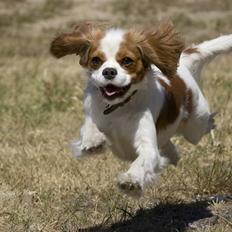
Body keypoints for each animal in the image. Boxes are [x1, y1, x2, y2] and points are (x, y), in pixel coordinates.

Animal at [50, 21, 232, 196]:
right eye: (96, 60)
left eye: (127, 61)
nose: (108, 71)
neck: (119, 106)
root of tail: (184, 64)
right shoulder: (92, 113)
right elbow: (89, 128)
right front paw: (94, 140)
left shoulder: (147, 144)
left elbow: (143, 160)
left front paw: (131, 181)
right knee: (169, 148)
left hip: (195, 125)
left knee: (205, 123)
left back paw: (212, 122)